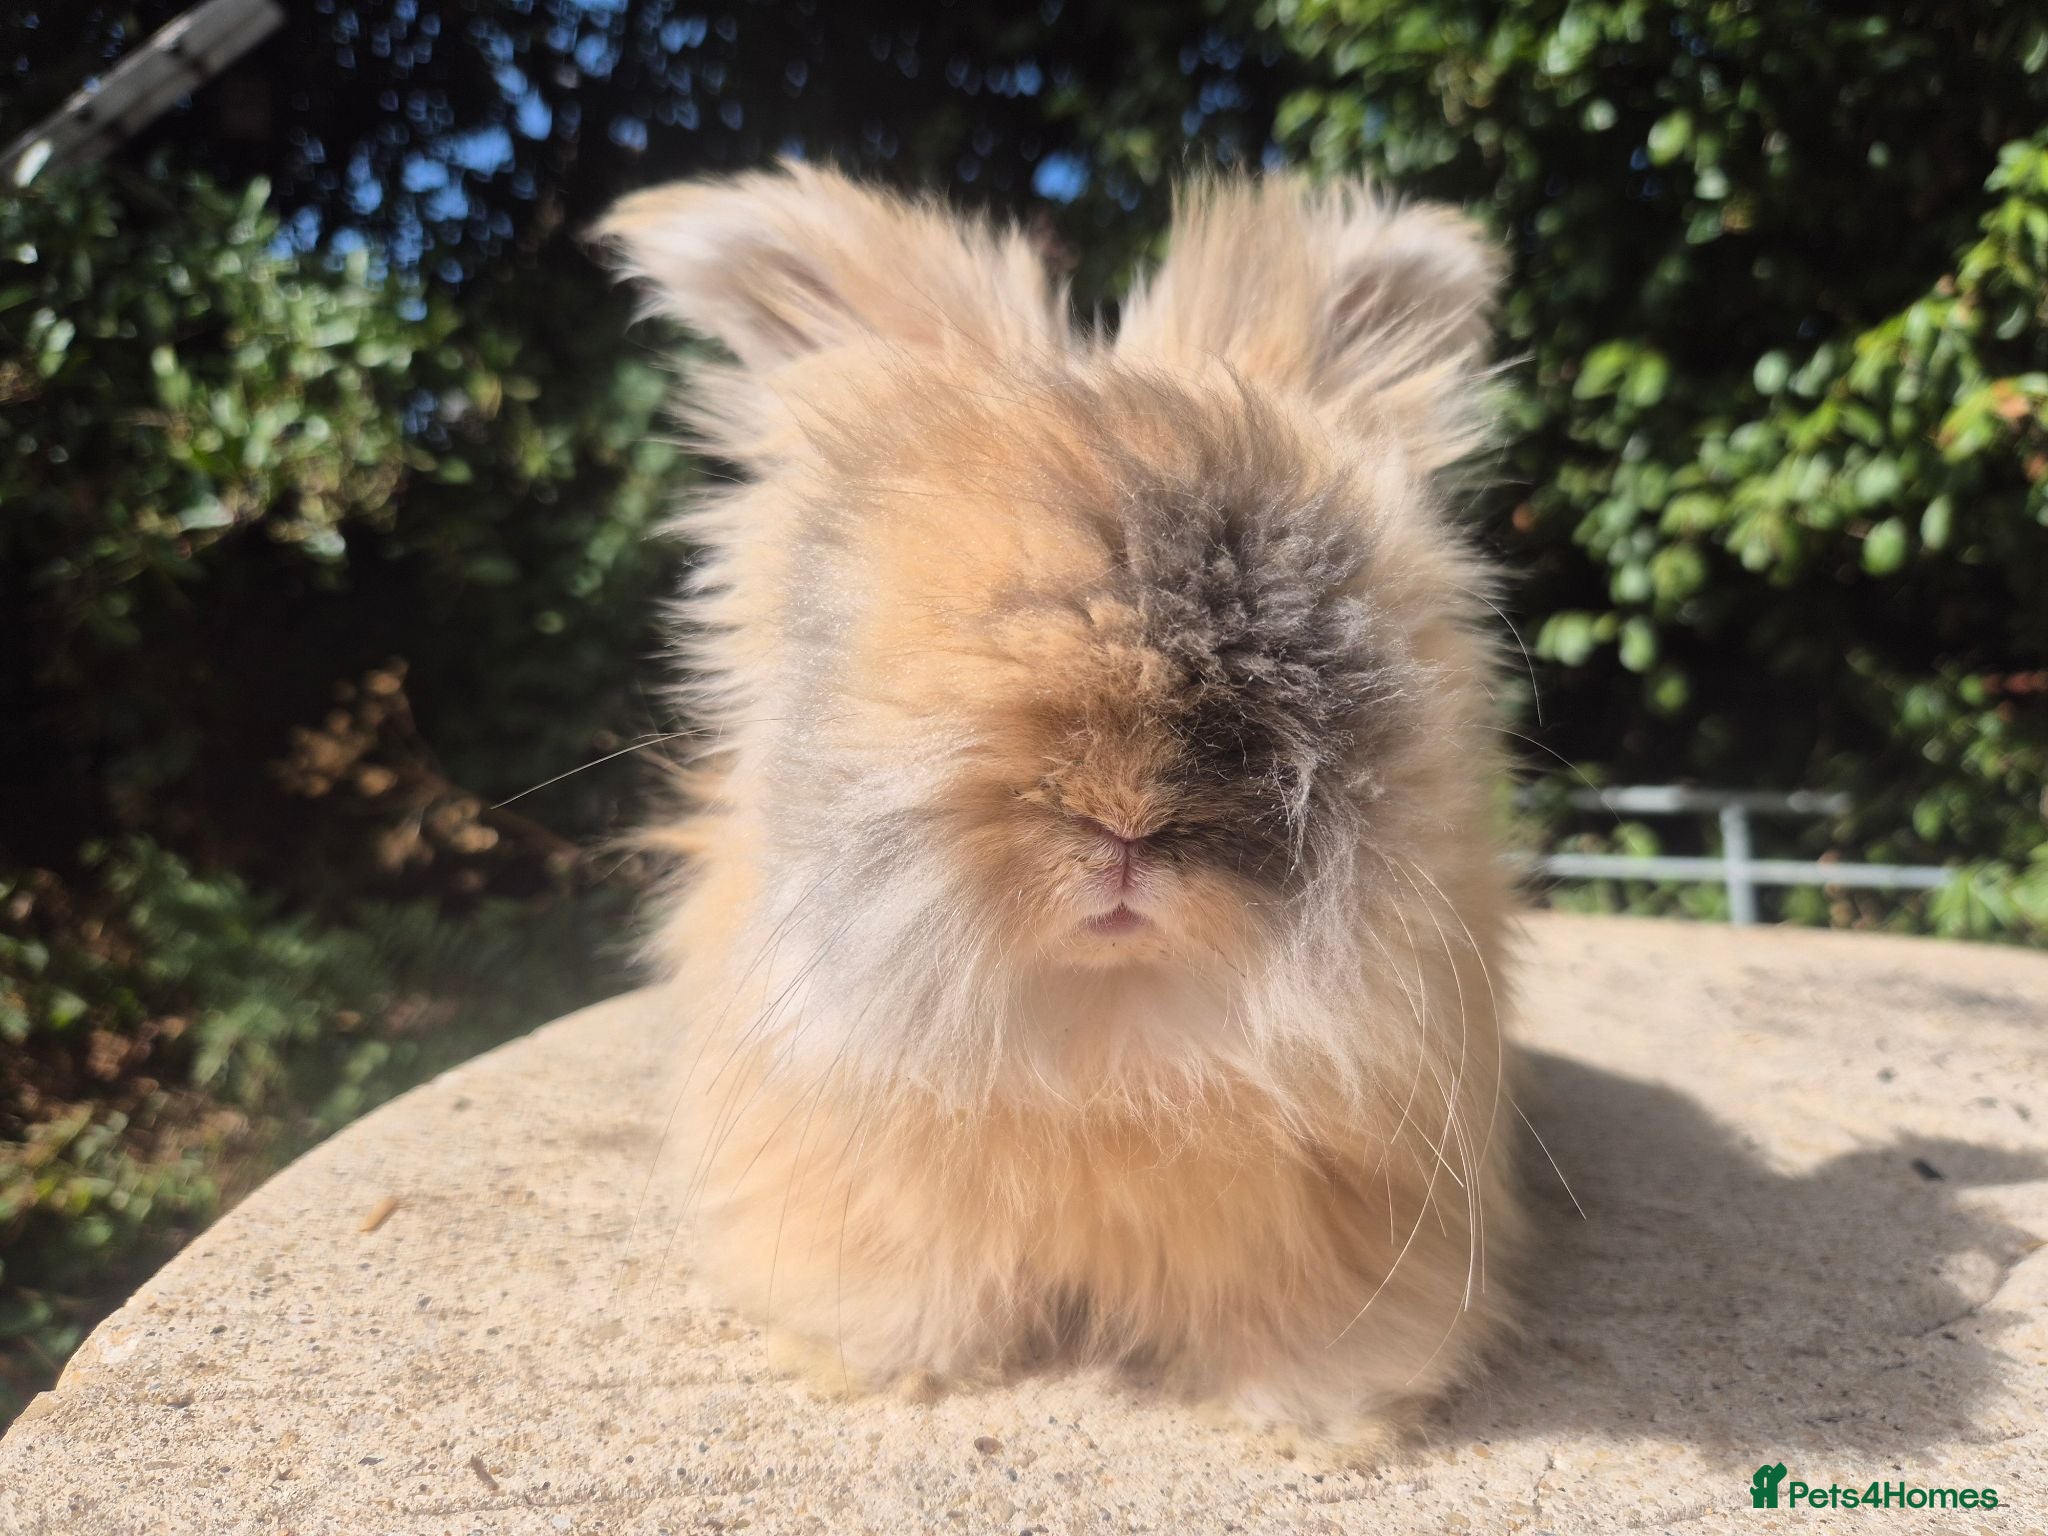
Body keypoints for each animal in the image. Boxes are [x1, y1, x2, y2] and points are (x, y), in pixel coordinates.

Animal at [599, 161, 1522, 1447]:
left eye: (1309, 644)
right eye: (945, 646)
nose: (1122, 823)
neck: (1106, 1028)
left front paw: (1312, 1416)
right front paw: (874, 1361)